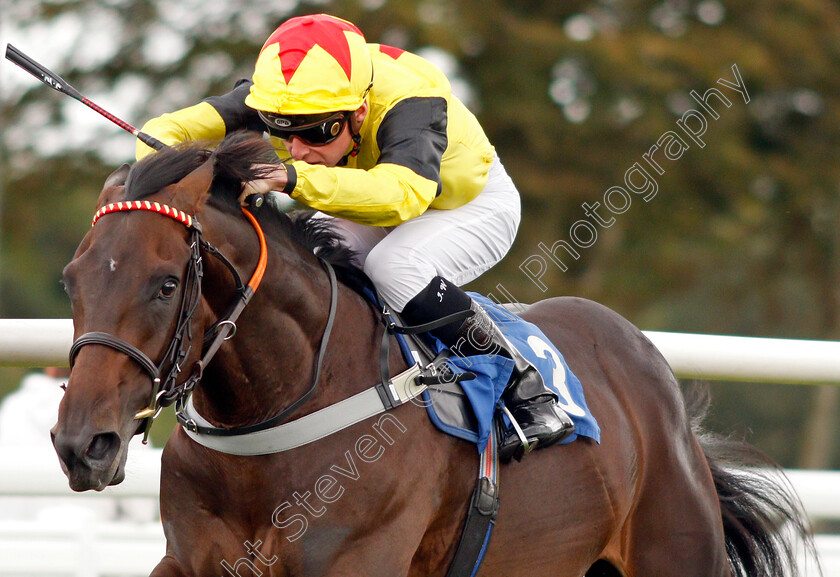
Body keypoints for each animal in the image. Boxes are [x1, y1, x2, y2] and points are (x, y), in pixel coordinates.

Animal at [52, 132, 812, 576]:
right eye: (71, 280)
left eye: (165, 284)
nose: (81, 444)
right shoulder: (190, 562)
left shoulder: (358, 561)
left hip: (672, 550)